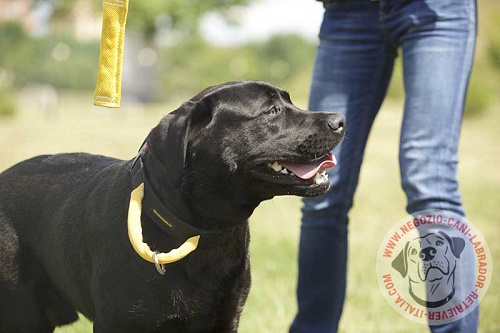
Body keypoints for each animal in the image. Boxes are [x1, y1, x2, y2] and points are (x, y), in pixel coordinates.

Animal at [0, 81, 344, 332]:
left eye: (290, 103)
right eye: (272, 110)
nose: (340, 121)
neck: (203, 234)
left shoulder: (226, 319)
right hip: (20, 312)